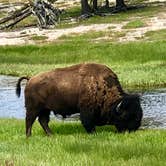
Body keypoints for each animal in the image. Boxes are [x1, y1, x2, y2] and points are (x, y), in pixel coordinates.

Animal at [15, 63, 143, 137]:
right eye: (127, 115)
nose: (134, 128)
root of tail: (30, 79)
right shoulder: (86, 110)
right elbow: (88, 122)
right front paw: (93, 133)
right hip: (33, 108)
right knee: (30, 120)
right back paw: (29, 136)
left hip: (45, 109)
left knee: (43, 121)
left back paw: (51, 135)